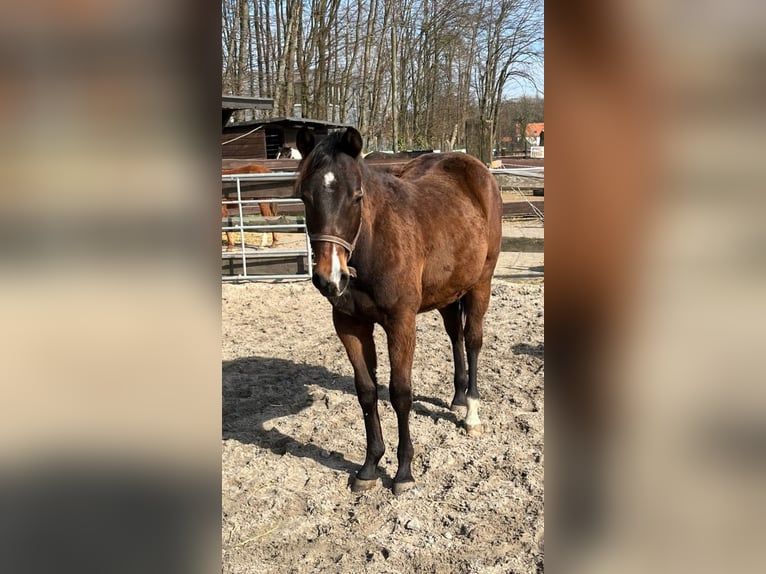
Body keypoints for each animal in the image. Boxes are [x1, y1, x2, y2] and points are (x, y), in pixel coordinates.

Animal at [296, 128, 508, 498]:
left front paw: (404, 472)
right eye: (306, 197)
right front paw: (369, 467)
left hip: (481, 283)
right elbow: (367, 391)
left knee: (472, 340)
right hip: (448, 291)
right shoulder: (349, 325)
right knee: (455, 336)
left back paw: (471, 413)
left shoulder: (401, 322)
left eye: (356, 197)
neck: (372, 244)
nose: (329, 278)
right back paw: (457, 398)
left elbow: (400, 392)